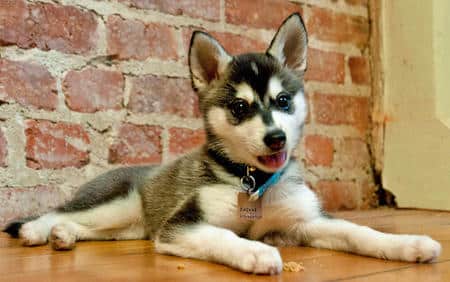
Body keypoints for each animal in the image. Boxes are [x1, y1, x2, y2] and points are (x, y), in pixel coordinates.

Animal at [2, 13, 440, 276]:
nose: (276, 137)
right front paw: (255, 252)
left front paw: (408, 243)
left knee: (82, 225)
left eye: (284, 101)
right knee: (55, 212)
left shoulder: (307, 221)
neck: (253, 182)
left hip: (129, 227)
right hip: (116, 204)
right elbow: (224, 236)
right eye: (239, 107)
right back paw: (39, 232)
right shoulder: (180, 226)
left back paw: (65, 235)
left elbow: (359, 231)